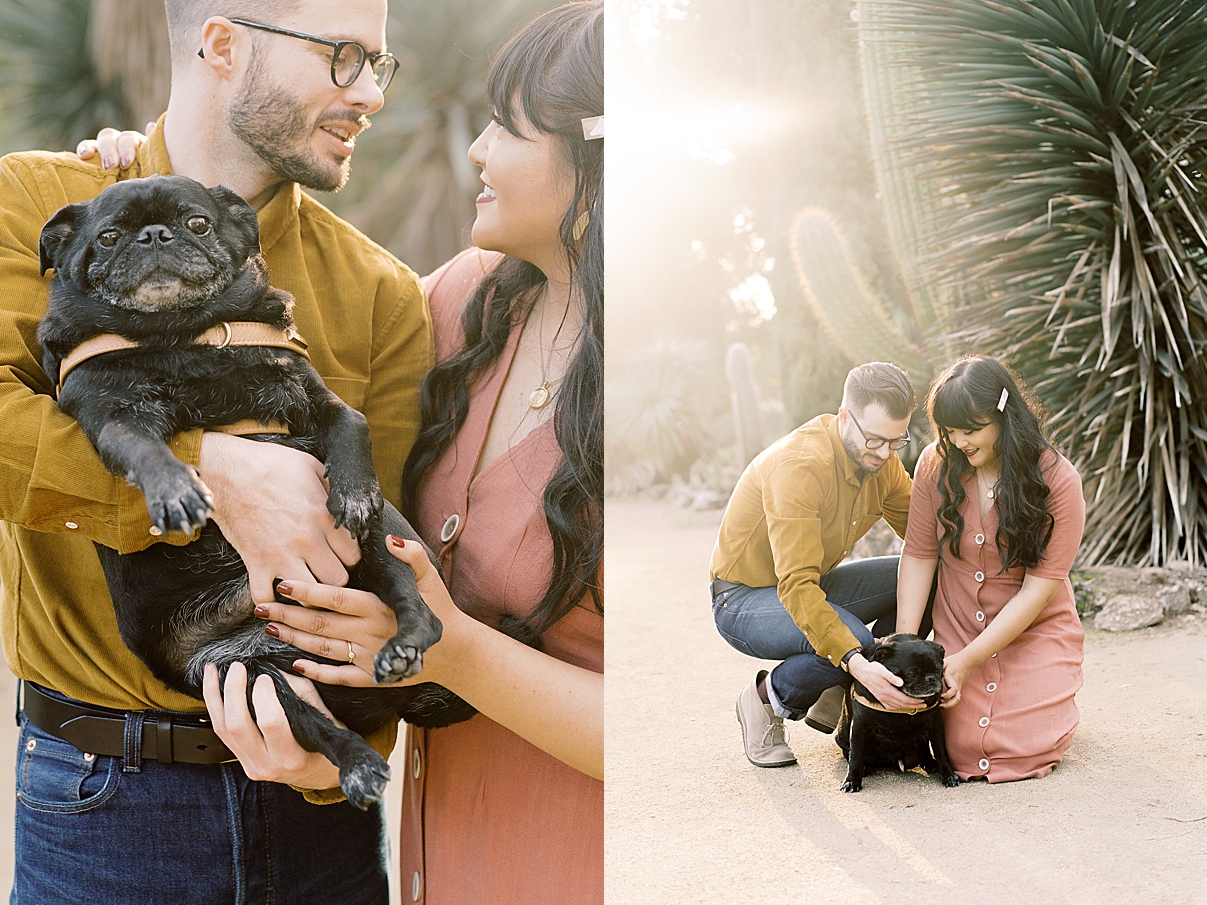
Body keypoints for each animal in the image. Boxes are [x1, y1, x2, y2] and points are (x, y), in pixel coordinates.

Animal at [35, 173, 475, 810]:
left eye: (197, 223)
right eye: (109, 236)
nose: (153, 235)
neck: (181, 336)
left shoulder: (314, 399)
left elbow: (353, 425)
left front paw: (353, 489)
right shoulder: (115, 415)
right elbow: (148, 450)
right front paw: (176, 491)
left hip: (386, 538)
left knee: (421, 610)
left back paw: (402, 643)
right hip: (244, 680)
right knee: (311, 721)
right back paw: (360, 764)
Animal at [835, 632, 955, 791]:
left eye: (938, 670)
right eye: (912, 674)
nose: (931, 678)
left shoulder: (935, 724)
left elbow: (941, 751)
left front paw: (949, 775)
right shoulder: (859, 726)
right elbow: (855, 755)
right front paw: (852, 780)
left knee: (925, 748)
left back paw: (929, 762)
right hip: (842, 736)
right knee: (849, 752)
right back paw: (864, 767)